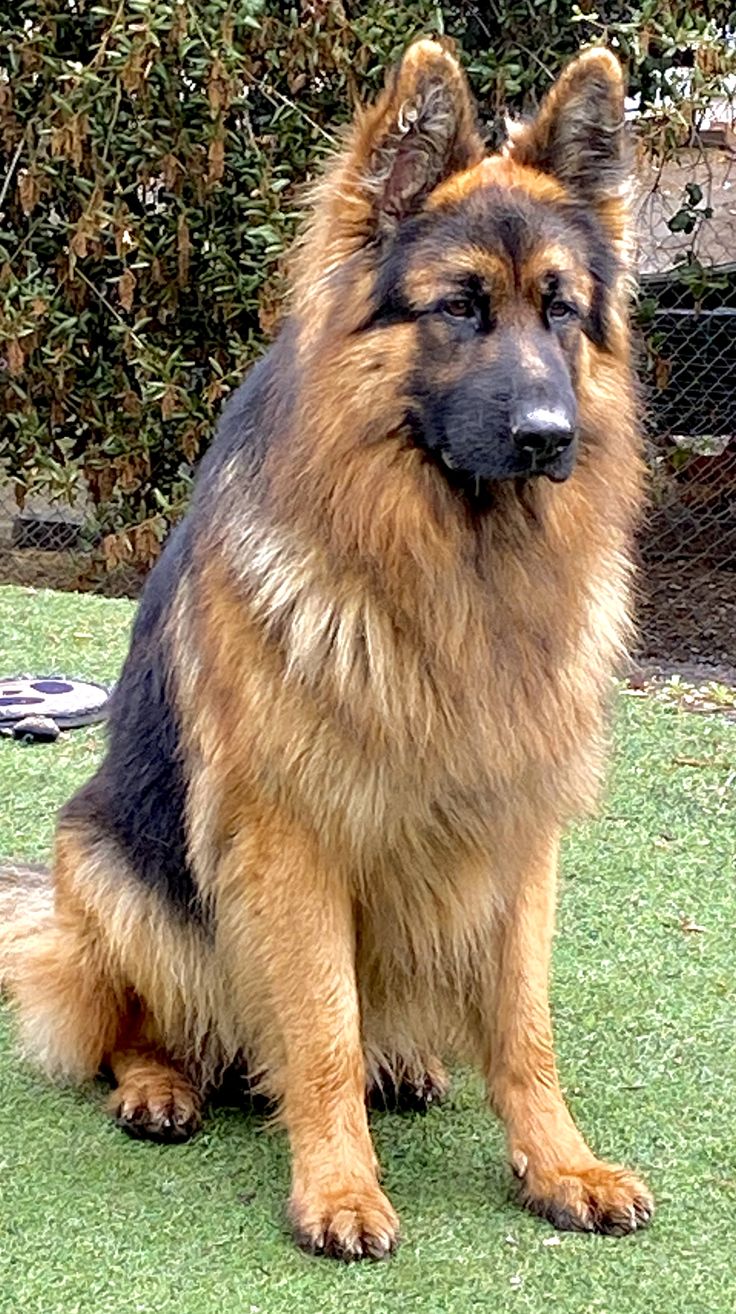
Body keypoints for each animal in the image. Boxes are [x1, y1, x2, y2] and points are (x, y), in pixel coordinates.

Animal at [4, 35, 649, 1256]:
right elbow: (319, 1027)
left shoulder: (519, 828)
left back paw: (408, 1065)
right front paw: (340, 1187)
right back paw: (157, 1085)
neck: (455, 570)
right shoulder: (291, 838)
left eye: (560, 310)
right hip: (106, 865)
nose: (549, 439)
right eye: (460, 308)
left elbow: (522, 1027)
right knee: (133, 1022)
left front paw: (560, 1166)